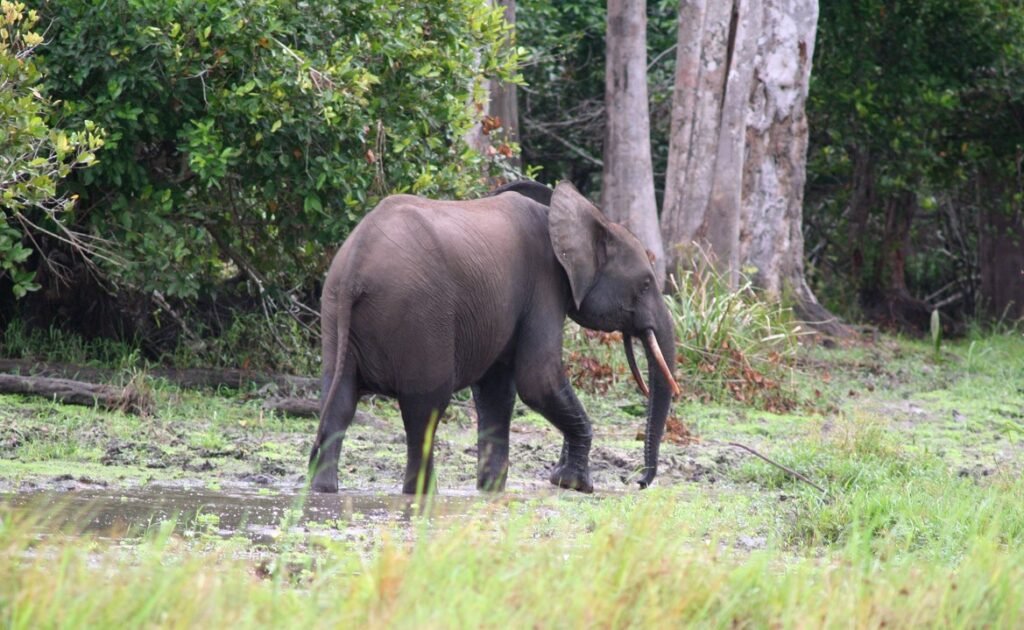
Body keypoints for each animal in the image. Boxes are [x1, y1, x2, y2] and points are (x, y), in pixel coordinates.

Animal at [311, 180, 679, 495]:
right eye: (646, 284)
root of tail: (356, 265)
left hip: (334, 310)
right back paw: (422, 493)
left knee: (339, 399)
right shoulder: (543, 285)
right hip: (419, 313)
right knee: (424, 407)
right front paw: (574, 485)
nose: (637, 482)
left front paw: (492, 489)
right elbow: (538, 381)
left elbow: (497, 392)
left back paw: (324, 489)